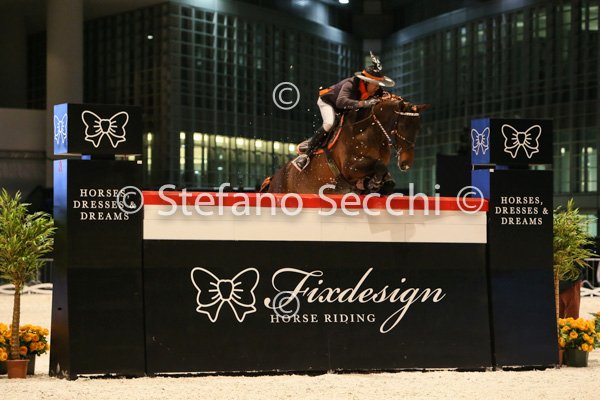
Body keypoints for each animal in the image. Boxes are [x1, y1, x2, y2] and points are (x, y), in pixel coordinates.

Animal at [261, 93, 429, 194]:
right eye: (403, 126)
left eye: (418, 128)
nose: (406, 164)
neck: (372, 132)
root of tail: (273, 178)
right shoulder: (349, 168)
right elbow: (379, 165)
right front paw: (373, 182)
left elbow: (387, 178)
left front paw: (372, 184)